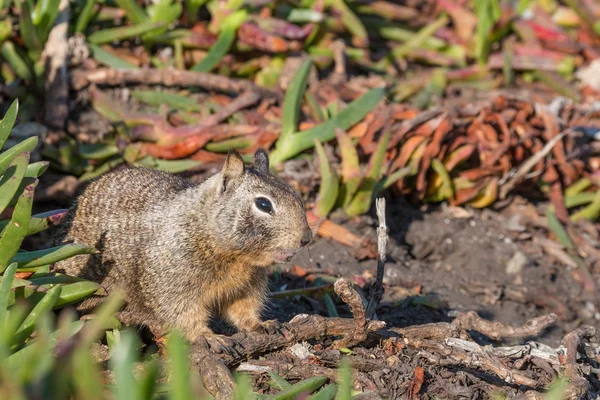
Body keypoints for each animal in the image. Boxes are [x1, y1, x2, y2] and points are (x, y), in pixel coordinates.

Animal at [54, 148, 312, 342]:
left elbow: (244, 310)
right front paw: (207, 336)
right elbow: (182, 312)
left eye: (296, 194)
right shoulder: (171, 282)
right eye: (264, 204)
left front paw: (260, 324)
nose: (307, 238)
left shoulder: (247, 287)